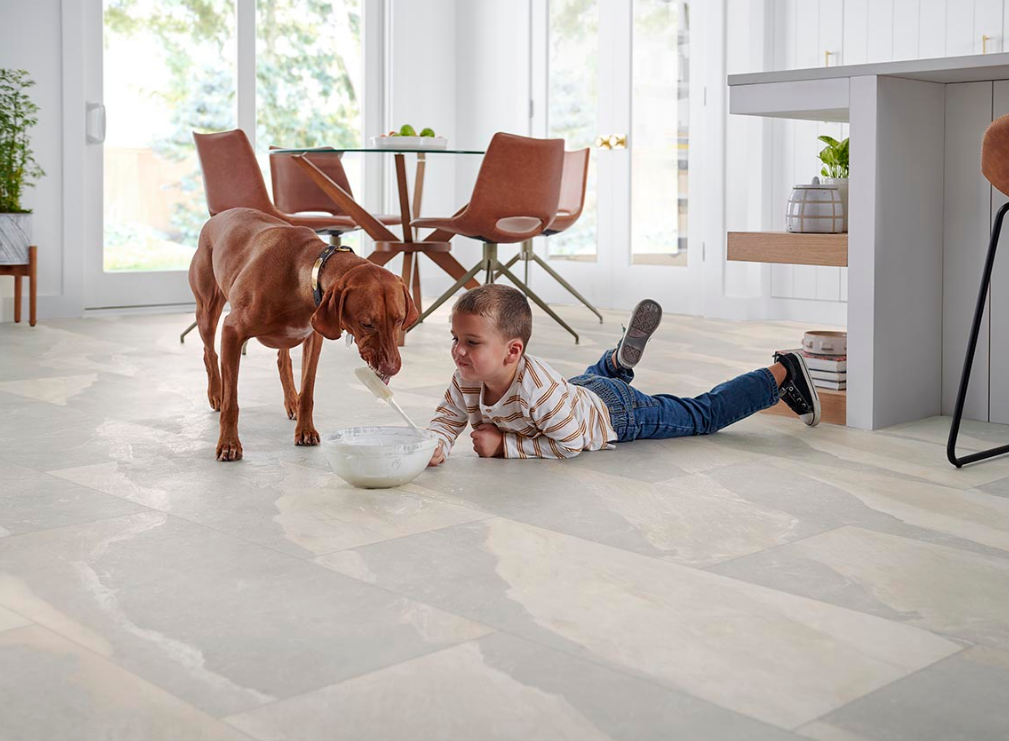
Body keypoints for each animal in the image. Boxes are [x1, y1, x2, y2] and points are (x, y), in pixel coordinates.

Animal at [189, 208, 417, 462]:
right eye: (366, 323)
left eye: (399, 320)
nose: (392, 368)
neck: (306, 273)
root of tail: (218, 216)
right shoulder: (232, 331)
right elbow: (232, 402)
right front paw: (229, 443)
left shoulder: (314, 338)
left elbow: (307, 390)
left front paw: (305, 429)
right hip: (207, 311)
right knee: (209, 353)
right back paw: (216, 393)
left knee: (283, 360)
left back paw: (291, 401)